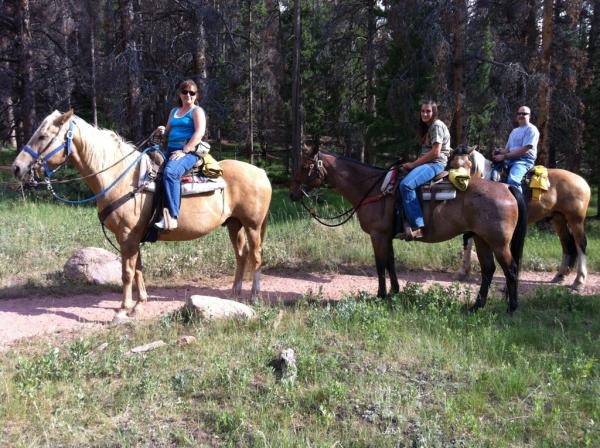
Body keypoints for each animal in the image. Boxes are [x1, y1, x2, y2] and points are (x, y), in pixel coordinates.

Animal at [11, 110, 272, 324]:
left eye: (43, 136)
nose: (17, 168)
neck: (123, 178)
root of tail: (261, 172)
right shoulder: (132, 238)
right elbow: (138, 269)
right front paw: (139, 305)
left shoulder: (128, 236)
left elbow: (126, 273)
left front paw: (122, 310)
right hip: (234, 224)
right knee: (241, 255)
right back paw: (235, 293)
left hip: (253, 225)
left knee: (256, 257)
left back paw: (254, 296)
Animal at [288, 147, 528, 312]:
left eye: (304, 167)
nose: (292, 193)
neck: (373, 189)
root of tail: (507, 186)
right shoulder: (387, 236)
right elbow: (391, 262)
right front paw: (394, 291)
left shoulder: (378, 235)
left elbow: (380, 265)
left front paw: (381, 295)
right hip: (481, 238)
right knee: (488, 270)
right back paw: (476, 306)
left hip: (499, 242)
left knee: (511, 269)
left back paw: (511, 308)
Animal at [458, 147, 588, 290]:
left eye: (466, 164)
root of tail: (582, 181)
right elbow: (468, 243)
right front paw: (463, 271)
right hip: (559, 219)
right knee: (567, 244)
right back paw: (560, 276)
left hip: (576, 220)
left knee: (581, 244)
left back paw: (579, 281)